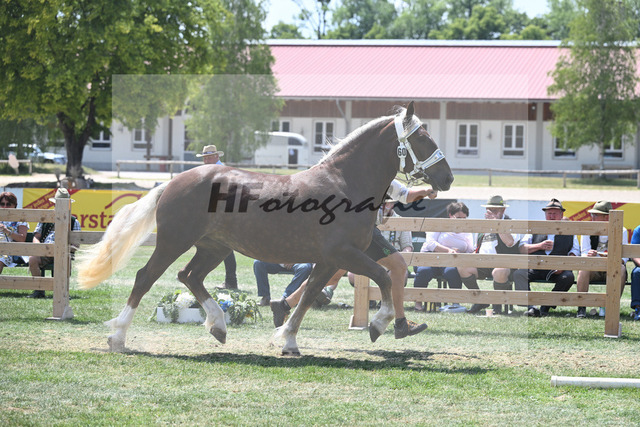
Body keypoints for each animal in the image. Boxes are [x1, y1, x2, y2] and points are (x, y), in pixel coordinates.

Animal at [77, 102, 454, 355]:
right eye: (422, 138)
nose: (448, 178)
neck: (346, 184)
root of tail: (172, 182)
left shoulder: (331, 259)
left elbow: (309, 295)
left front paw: (288, 340)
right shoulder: (344, 254)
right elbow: (384, 278)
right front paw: (378, 324)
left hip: (214, 247)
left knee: (189, 277)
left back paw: (218, 326)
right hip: (174, 242)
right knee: (146, 277)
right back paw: (117, 337)